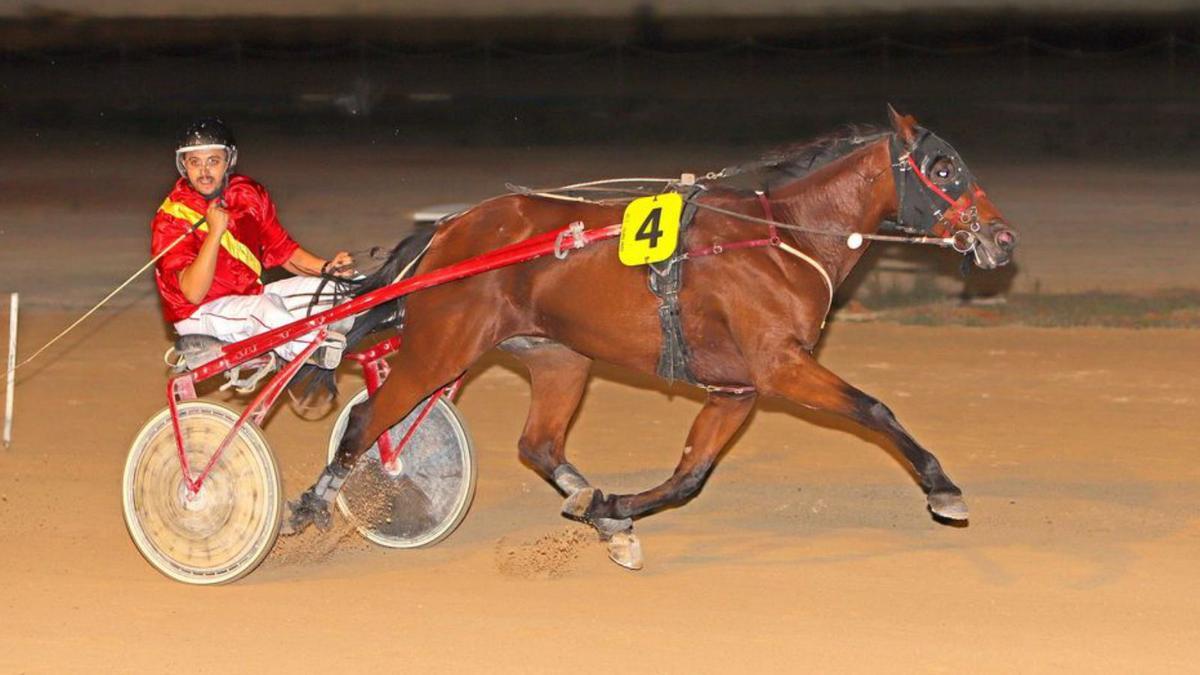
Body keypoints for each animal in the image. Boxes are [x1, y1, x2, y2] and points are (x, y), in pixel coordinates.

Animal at [280, 106, 1012, 566]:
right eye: (944, 168)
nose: (1003, 239)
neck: (783, 240)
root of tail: (453, 227)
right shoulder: (780, 366)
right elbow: (877, 409)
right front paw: (943, 489)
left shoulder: (737, 390)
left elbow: (690, 475)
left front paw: (614, 506)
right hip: (441, 344)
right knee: (369, 421)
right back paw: (307, 507)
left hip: (559, 359)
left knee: (538, 445)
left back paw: (596, 508)